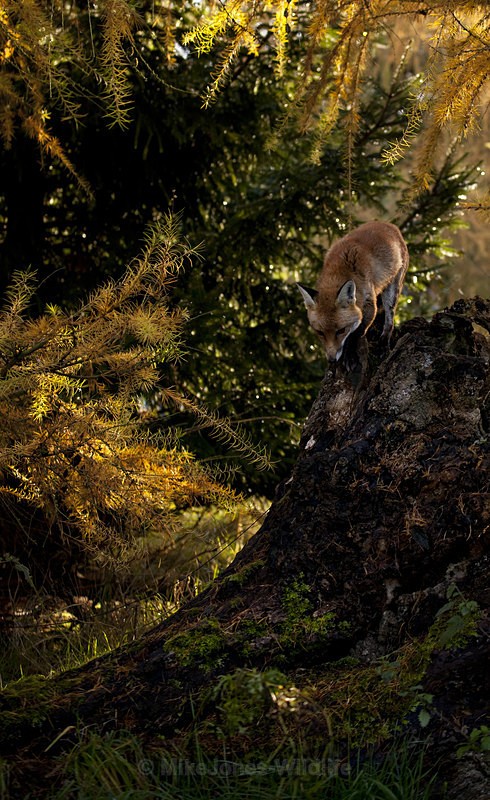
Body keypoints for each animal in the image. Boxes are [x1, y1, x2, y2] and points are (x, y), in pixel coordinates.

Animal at [297, 221, 409, 367]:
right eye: (320, 333)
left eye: (341, 331)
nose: (332, 360)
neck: (339, 271)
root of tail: (388, 224)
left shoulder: (369, 304)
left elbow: (357, 332)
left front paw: (349, 354)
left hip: (392, 290)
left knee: (390, 320)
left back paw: (384, 341)